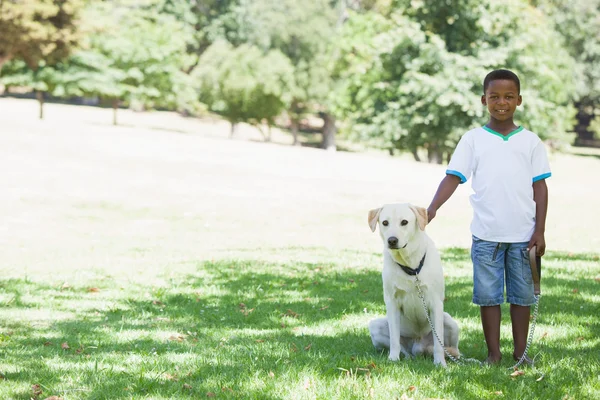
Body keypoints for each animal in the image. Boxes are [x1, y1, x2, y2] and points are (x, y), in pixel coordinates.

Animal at [366, 205, 460, 368]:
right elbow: (394, 339)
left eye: (404, 222)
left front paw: (440, 363)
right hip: (375, 326)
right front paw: (393, 359)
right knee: (403, 348)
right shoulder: (392, 303)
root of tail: (418, 345)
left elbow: (438, 344)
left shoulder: (436, 303)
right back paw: (406, 357)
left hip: (450, 322)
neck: (410, 265)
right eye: (385, 223)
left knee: (452, 348)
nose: (392, 240)